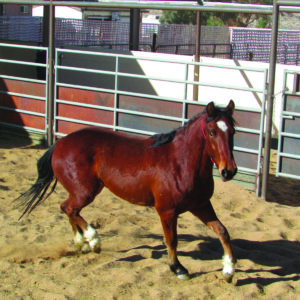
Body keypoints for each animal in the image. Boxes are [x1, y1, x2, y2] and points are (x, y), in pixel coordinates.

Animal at [15, 101, 237, 284]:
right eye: (211, 131)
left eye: (233, 131)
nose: (229, 171)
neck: (180, 162)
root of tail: (60, 143)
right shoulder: (166, 210)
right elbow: (171, 240)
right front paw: (178, 269)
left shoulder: (201, 205)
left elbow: (223, 231)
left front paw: (228, 270)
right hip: (85, 191)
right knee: (69, 209)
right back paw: (93, 240)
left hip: (85, 191)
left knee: (70, 210)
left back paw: (82, 244)